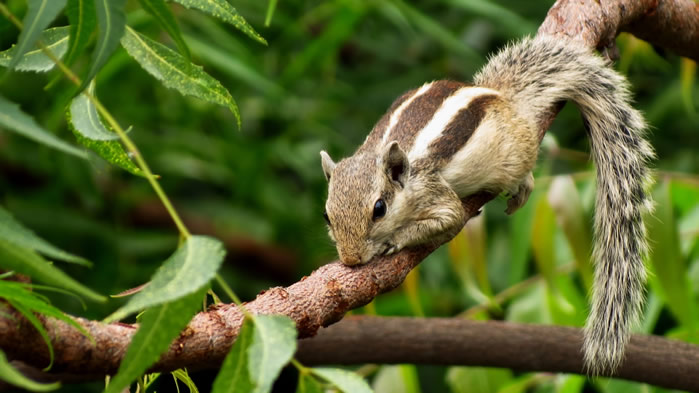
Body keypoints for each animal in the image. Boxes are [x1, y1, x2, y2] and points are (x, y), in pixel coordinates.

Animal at [322, 36, 656, 374]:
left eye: (379, 209)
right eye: (327, 216)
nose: (350, 259)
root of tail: (500, 94)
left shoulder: (435, 193)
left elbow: (450, 219)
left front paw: (394, 240)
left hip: (514, 154)